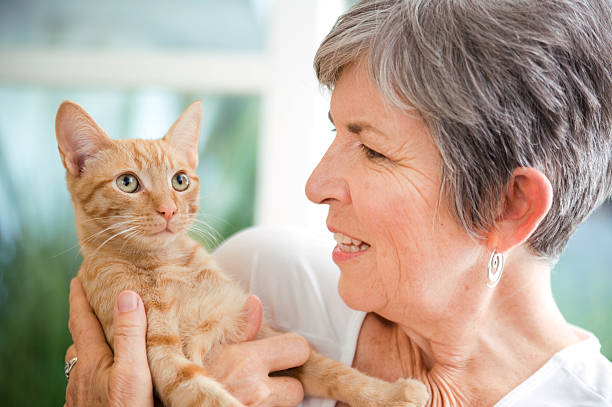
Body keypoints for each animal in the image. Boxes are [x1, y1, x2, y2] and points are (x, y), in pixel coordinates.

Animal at [55, 99, 426, 407]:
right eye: (128, 183)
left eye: (179, 181)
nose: (168, 210)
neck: (169, 265)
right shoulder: (161, 358)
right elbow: (206, 394)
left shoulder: (261, 331)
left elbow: (334, 372)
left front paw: (392, 394)